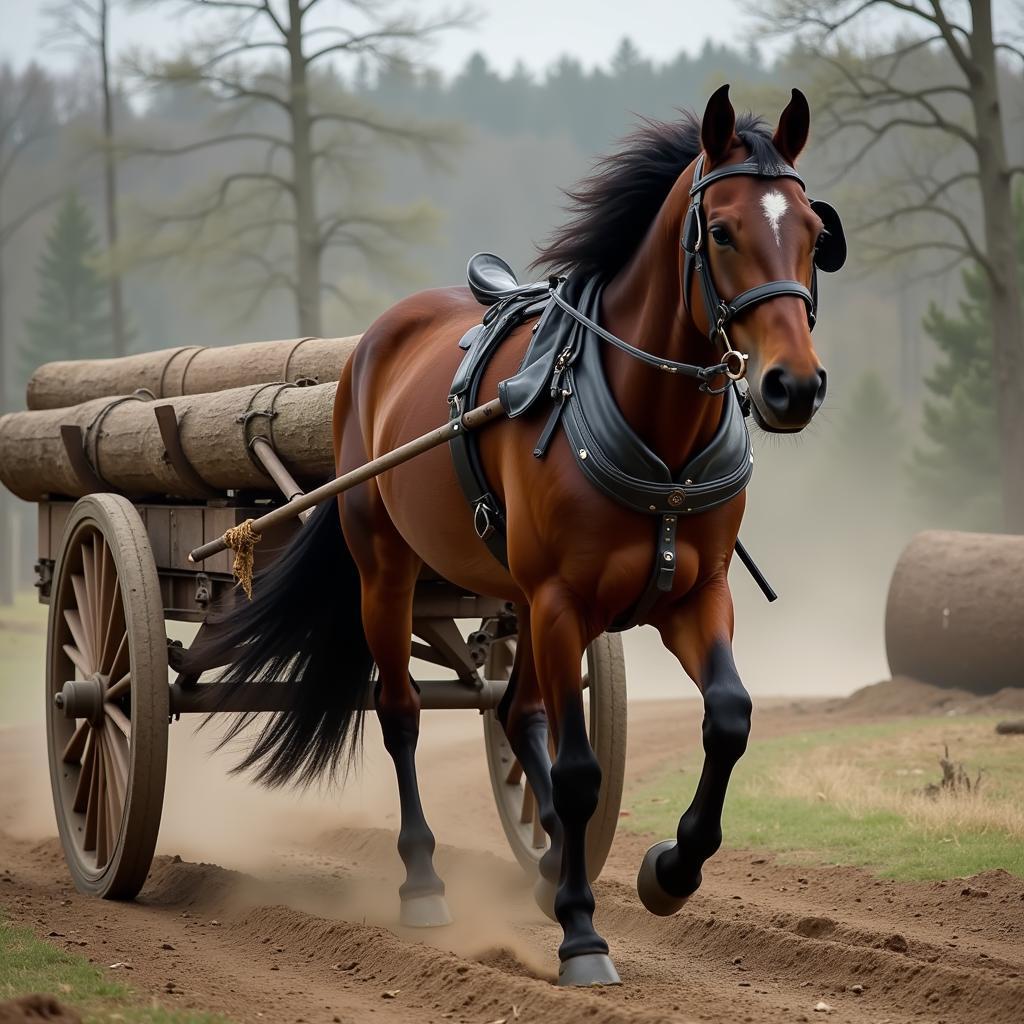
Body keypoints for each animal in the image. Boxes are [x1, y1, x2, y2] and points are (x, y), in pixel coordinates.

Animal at [190, 86, 839, 983]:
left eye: (813, 232)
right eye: (722, 231)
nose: (794, 387)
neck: (654, 432)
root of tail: (369, 346)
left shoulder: (694, 595)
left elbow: (729, 719)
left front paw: (670, 870)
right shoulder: (562, 600)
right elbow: (577, 769)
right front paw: (582, 934)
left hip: (515, 598)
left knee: (516, 710)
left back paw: (549, 859)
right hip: (388, 572)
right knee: (403, 714)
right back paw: (425, 881)